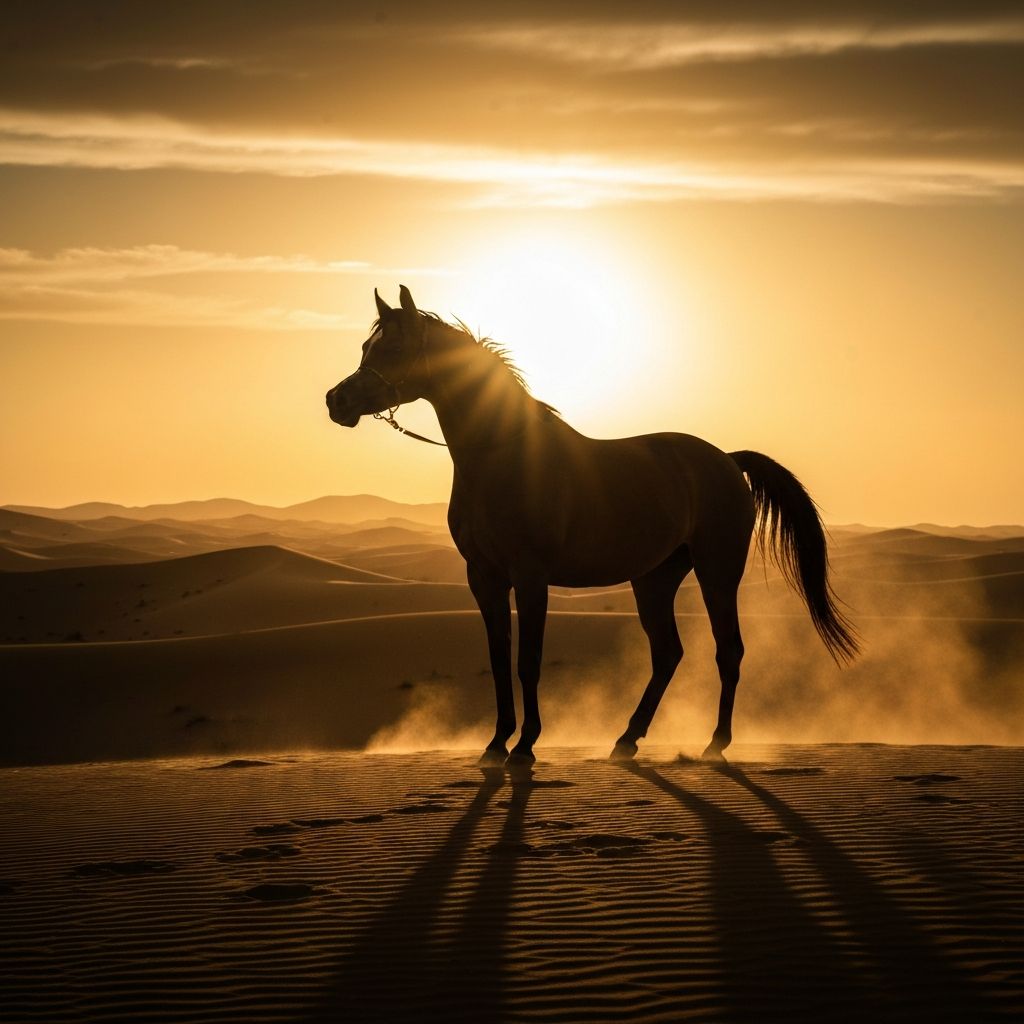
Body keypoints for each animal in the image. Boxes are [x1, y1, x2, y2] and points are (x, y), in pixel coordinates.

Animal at [326, 285, 858, 765]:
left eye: (393, 348)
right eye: (366, 348)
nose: (336, 401)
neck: (502, 456)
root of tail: (727, 460)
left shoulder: (530, 577)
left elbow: (528, 661)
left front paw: (525, 745)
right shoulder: (485, 578)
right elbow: (499, 660)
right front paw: (496, 744)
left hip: (717, 572)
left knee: (728, 650)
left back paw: (714, 745)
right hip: (654, 579)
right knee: (667, 653)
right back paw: (627, 740)